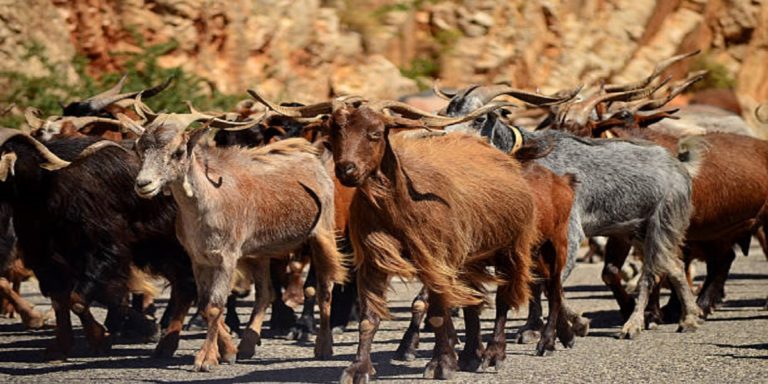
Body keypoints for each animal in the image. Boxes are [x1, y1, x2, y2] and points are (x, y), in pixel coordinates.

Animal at [0, 129, 196, 360]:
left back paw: (167, 343)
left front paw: (100, 338)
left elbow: (78, 298)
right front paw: (61, 345)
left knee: (186, 287)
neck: (45, 184)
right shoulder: (44, 255)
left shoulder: (103, 247)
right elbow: (61, 299)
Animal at [124, 105, 346, 372]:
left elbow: (214, 305)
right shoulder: (199, 259)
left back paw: (323, 347)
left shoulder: (226, 257)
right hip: (259, 252)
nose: (144, 184)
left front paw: (206, 359)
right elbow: (204, 303)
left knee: (324, 289)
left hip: (322, 235)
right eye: (140, 148)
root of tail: (314, 160)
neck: (209, 201)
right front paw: (228, 351)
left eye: (178, 152)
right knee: (265, 293)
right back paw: (248, 345)